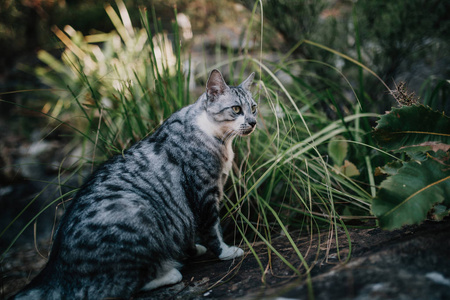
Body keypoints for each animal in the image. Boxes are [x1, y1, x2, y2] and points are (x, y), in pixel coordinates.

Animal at [12, 69, 258, 298]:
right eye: (236, 109)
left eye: (254, 107)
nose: (254, 122)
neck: (217, 136)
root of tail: (55, 270)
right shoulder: (204, 193)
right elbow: (212, 228)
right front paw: (225, 252)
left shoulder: (190, 207)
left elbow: (188, 229)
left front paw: (193, 249)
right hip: (138, 215)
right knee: (121, 287)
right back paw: (169, 272)